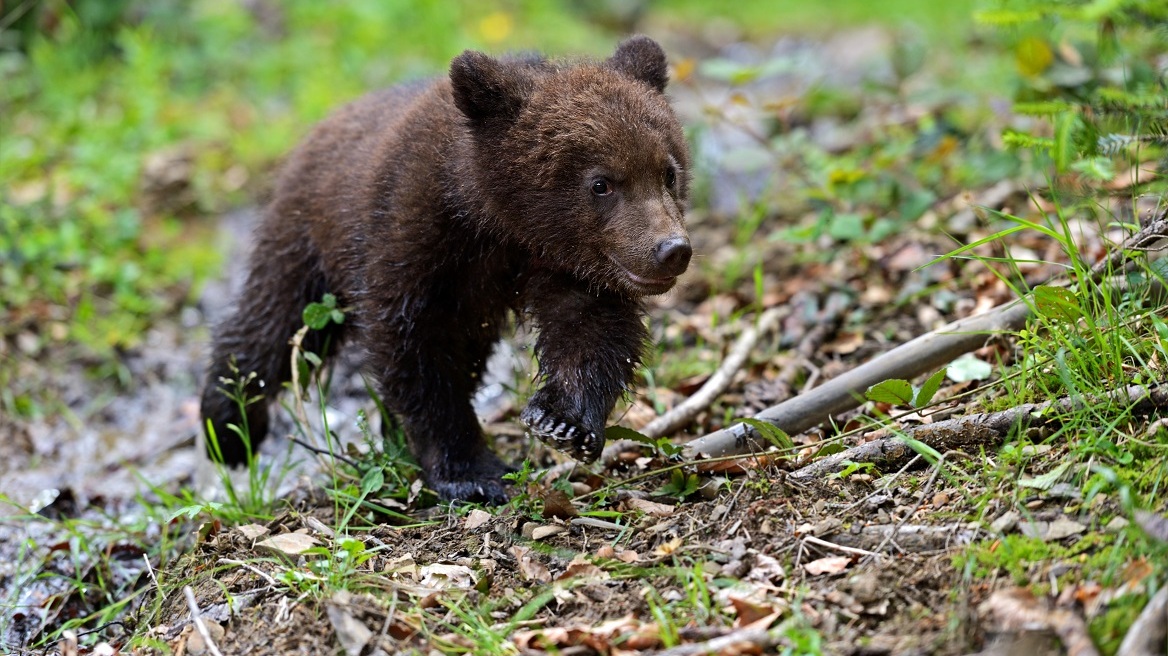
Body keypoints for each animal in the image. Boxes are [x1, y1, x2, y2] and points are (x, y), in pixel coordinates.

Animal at [202, 35, 691, 501]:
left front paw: (563, 421)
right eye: (601, 183)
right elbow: (417, 350)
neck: (500, 223)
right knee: (275, 322)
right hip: (307, 240)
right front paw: (471, 472)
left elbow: (591, 330)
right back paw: (227, 426)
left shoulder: (570, 266)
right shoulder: (415, 236)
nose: (672, 249)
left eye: (668, 172)